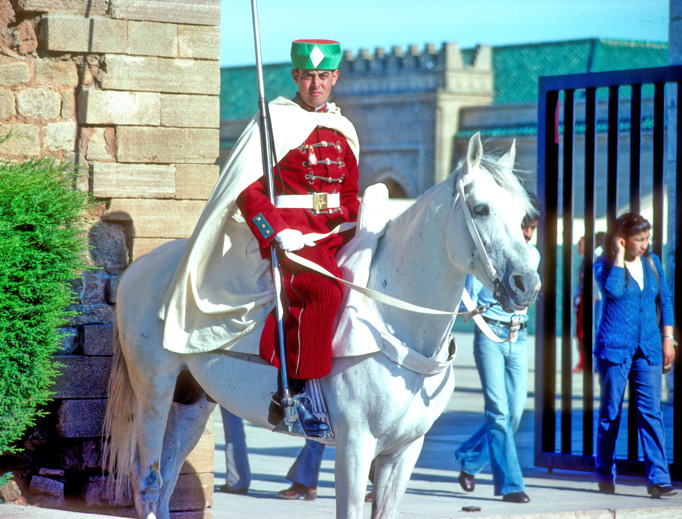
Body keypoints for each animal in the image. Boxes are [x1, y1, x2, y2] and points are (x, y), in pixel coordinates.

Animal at [102, 134, 536, 519]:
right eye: (480, 209)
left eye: (524, 217)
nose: (526, 284)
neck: (396, 321)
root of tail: (140, 266)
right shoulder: (354, 446)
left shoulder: (404, 450)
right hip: (154, 393)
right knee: (148, 481)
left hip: (192, 401)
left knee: (167, 479)